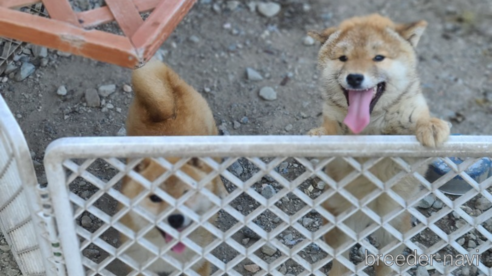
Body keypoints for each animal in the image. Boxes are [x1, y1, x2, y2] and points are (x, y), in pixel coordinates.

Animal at [310, 15, 452, 276]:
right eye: (343, 58)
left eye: (378, 57)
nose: (354, 77)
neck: (371, 124)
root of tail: (367, 218)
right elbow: (331, 130)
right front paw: (319, 134)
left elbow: (419, 122)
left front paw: (432, 126)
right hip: (339, 225)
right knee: (340, 262)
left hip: (393, 232)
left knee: (384, 263)